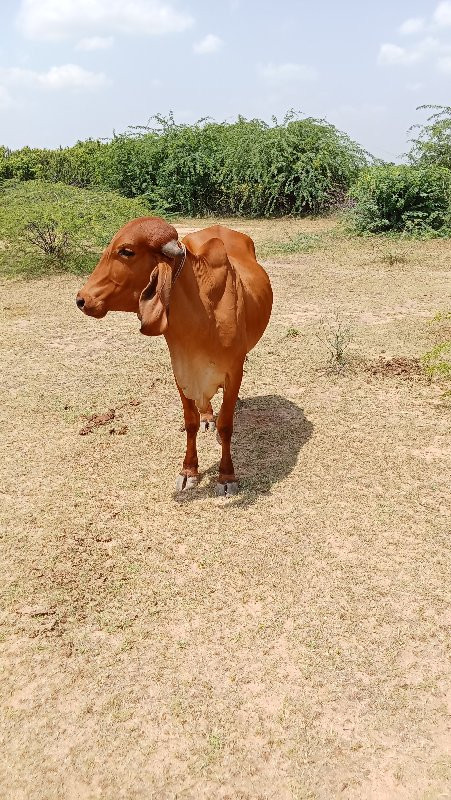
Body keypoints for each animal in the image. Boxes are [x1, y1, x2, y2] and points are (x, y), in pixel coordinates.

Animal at [75, 217, 272, 494]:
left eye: (126, 251)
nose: (82, 299)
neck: (202, 314)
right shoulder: (181, 370)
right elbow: (190, 422)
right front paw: (188, 470)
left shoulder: (233, 371)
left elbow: (226, 425)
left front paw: (226, 476)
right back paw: (207, 416)